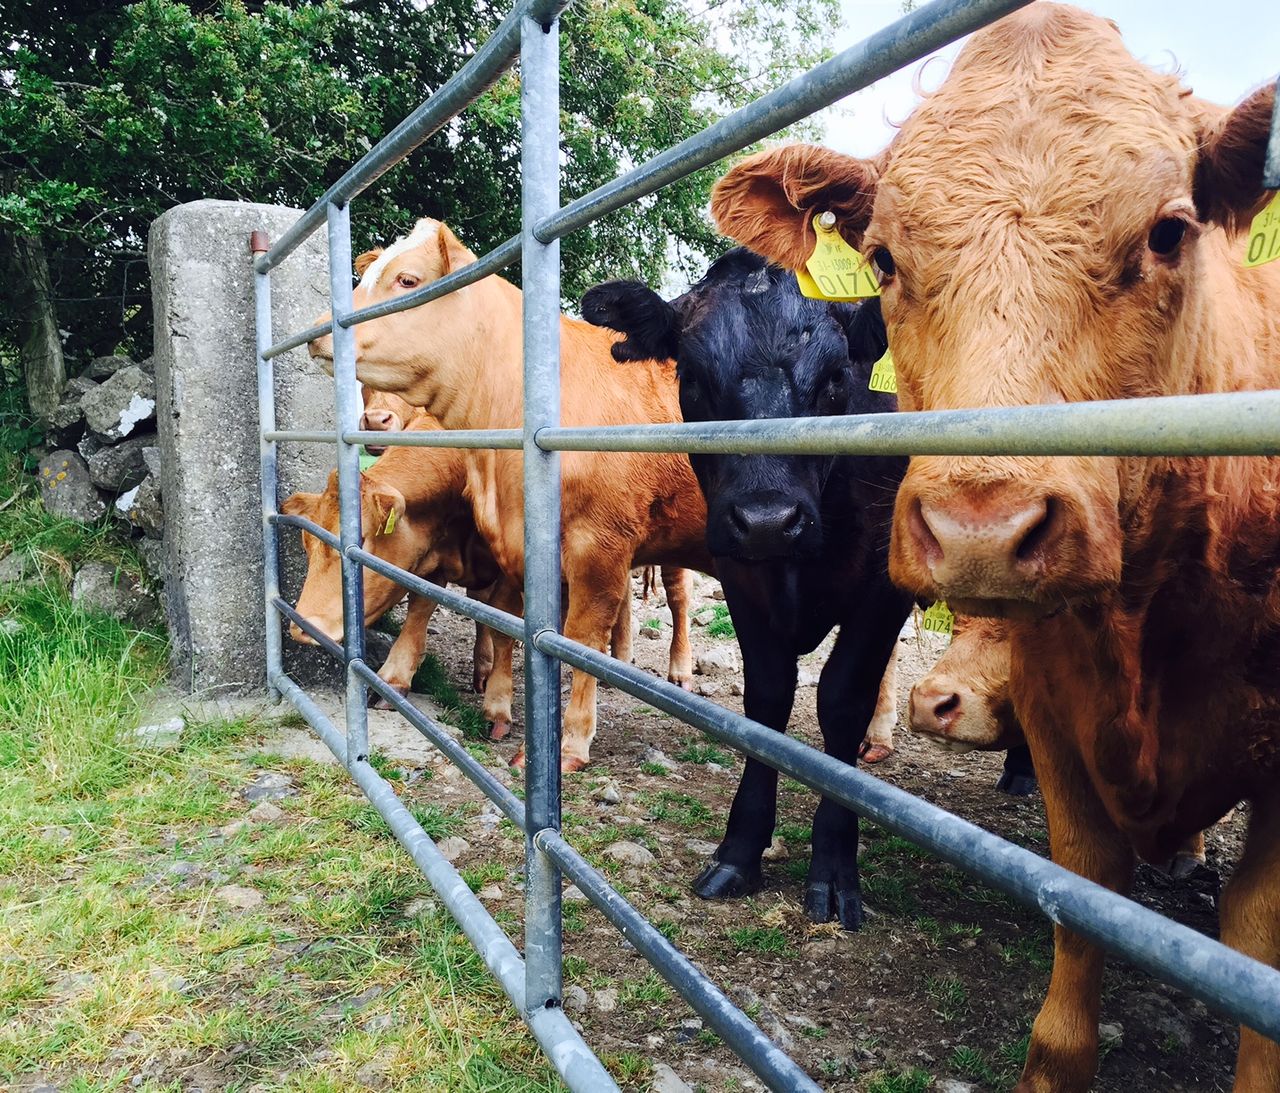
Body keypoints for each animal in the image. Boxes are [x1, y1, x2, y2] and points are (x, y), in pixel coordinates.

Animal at [308, 225, 714, 770]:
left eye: (407, 279)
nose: (319, 331)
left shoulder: (599, 547)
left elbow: (579, 636)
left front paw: (568, 741)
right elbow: (483, 617)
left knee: (677, 597)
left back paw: (678, 670)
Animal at [582, 248, 910, 928]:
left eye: (837, 377)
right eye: (693, 379)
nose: (766, 519)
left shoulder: (881, 587)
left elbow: (841, 699)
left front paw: (834, 868)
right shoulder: (744, 580)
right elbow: (767, 699)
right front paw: (740, 851)